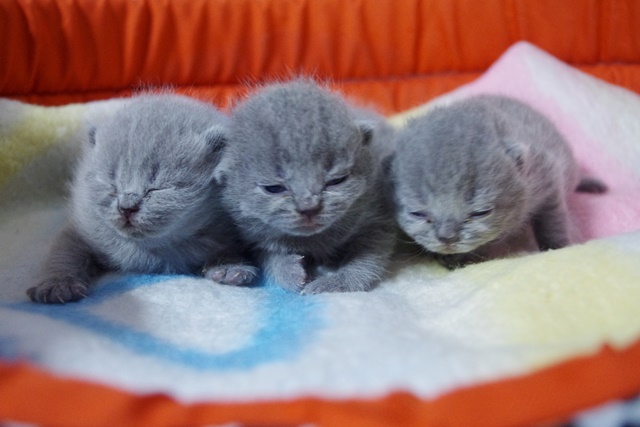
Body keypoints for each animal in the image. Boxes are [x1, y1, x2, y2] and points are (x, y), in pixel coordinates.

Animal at [28, 94, 257, 304]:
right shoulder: (81, 227)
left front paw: (229, 267)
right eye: (112, 184)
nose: (127, 207)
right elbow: (63, 252)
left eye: (157, 188)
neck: (148, 248)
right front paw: (57, 284)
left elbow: (227, 249)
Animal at [215, 79, 397, 294]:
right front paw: (289, 271)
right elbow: (267, 253)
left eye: (337, 180)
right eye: (273, 188)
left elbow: (367, 259)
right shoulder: (252, 234)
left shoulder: (379, 218)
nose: (308, 207)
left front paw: (334, 283)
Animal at [390, 94, 606, 268]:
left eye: (480, 213)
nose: (447, 237)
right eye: (417, 213)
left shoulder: (548, 175)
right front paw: (452, 258)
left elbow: (553, 219)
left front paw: (557, 246)